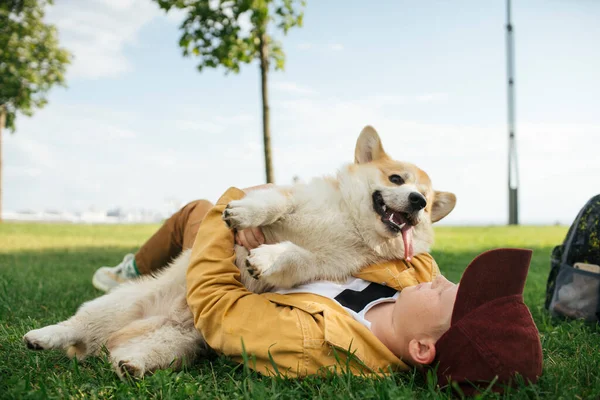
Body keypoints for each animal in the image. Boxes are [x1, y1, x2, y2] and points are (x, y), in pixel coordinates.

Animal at [23, 125, 454, 378]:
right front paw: (242, 213)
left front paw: (265, 259)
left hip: (178, 343)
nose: (418, 203)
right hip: (117, 307)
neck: (347, 219)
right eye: (396, 179)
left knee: (130, 353)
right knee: (77, 326)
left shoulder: (324, 262)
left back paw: (130, 363)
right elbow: (271, 204)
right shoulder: (291, 200)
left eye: (427, 200)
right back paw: (42, 336)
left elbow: (293, 255)